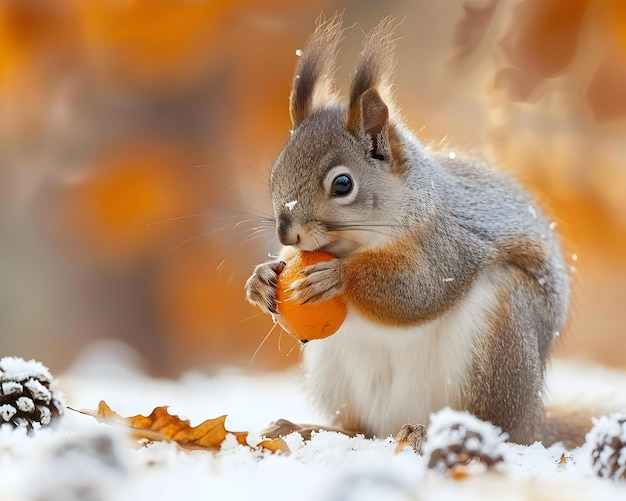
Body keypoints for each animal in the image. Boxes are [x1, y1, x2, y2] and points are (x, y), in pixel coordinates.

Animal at [244, 15, 588, 450]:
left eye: (342, 184)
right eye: (275, 174)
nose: (286, 235)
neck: (358, 243)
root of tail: (532, 422)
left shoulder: (449, 242)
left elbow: (420, 290)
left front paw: (339, 276)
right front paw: (260, 279)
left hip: (500, 339)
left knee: (490, 425)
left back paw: (443, 433)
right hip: (334, 375)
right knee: (360, 428)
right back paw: (306, 429)